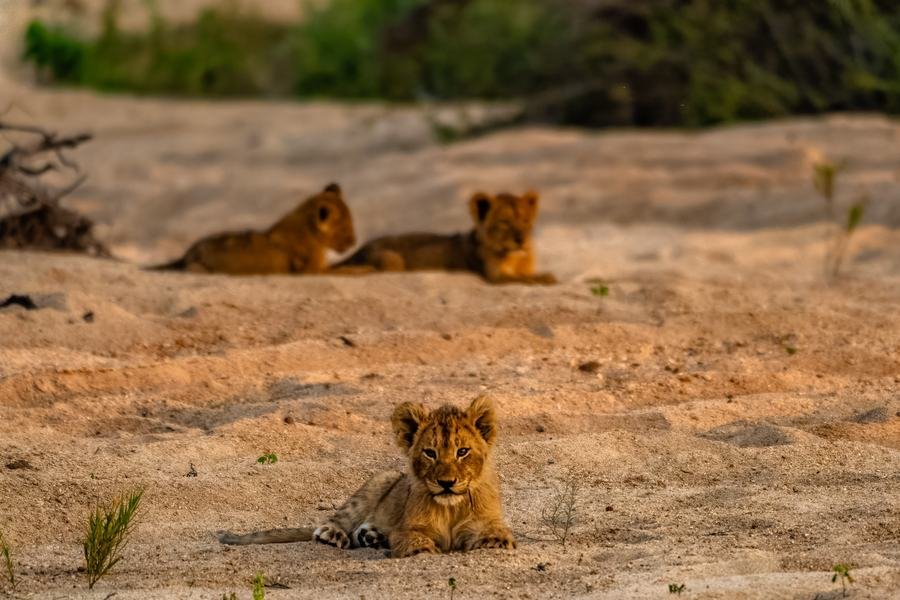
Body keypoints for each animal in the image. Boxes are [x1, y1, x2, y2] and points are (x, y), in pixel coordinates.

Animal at [149, 183, 355, 274]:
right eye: (345, 230)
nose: (353, 242)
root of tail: (186, 254)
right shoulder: (312, 270)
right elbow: (347, 270)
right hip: (198, 266)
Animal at [218, 396, 516, 557]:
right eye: (430, 453)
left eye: (462, 451)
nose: (446, 483)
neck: (451, 508)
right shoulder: (410, 527)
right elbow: (415, 541)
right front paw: (421, 551)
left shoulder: (486, 521)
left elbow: (496, 534)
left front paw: (494, 542)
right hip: (379, 480)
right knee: (336, 521)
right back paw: (334, 534)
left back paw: (371, 536)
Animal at [332, 191, 556, 284]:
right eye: (505, 222)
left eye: (525, 221)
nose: (521, 239)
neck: (514, 255)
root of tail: (359, 249)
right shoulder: (494, 277)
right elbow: (522, 278)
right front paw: (545, 278)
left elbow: (527, 274)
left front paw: (546, 275)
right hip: (391, 259)